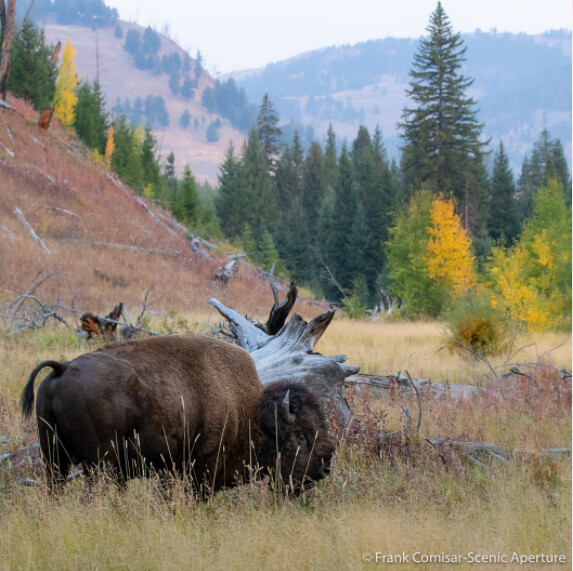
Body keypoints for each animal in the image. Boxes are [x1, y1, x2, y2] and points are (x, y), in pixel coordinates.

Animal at [22, 336, 336, 492]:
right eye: (302, 436)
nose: (325, 468)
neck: (249, 413)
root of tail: (63, 368)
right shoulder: (201, 465)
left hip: (53, 457)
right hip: (98, 462)